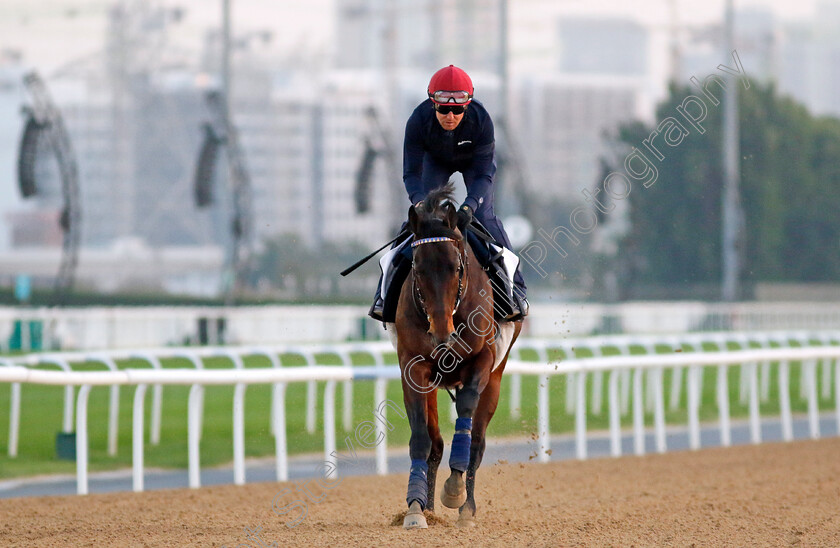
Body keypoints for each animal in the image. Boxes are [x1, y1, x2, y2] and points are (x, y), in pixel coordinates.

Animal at [392, 182, 520, 528]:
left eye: (456, 266)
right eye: (417, 268)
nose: (442, 334)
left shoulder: (482, 361)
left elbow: (466, 415)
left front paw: (454, 489)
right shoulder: (413, 366)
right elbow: (420, 438)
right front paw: (414, 509)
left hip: (496, 378)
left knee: (477, 440)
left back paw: (466, 508)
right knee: (435, 443)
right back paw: (428, 507)